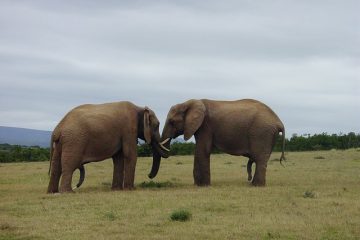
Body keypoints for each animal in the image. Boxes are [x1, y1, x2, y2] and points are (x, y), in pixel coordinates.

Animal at [150, 98, 286, 187]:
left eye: (172, 122)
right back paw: (254, 184)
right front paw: (198, 184)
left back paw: (256, 185)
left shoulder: (205, 125)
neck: (189, 102)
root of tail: (279, 121)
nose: (149, 177)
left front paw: (203, 186)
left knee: (260, 159)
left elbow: (202, 150)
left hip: (261, 132)